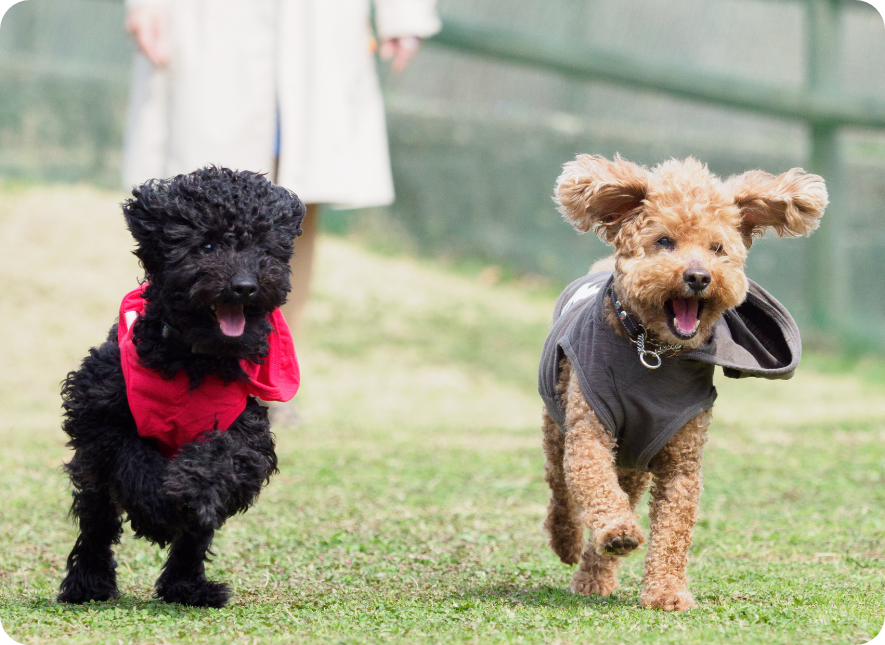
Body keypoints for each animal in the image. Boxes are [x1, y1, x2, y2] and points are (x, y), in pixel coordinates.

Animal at [57, 167, 304, 608]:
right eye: (205, 244)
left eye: (262, 247)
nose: (245, 286)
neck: (194, 360)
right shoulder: (97, 409)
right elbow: (131, 455)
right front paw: (155, 510)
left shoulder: (245, 428)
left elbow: (222, 458)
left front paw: (191, 489)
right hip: (93, 476)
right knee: (97, 520)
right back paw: (88, 582)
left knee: (194, 534)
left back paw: (188, 586)